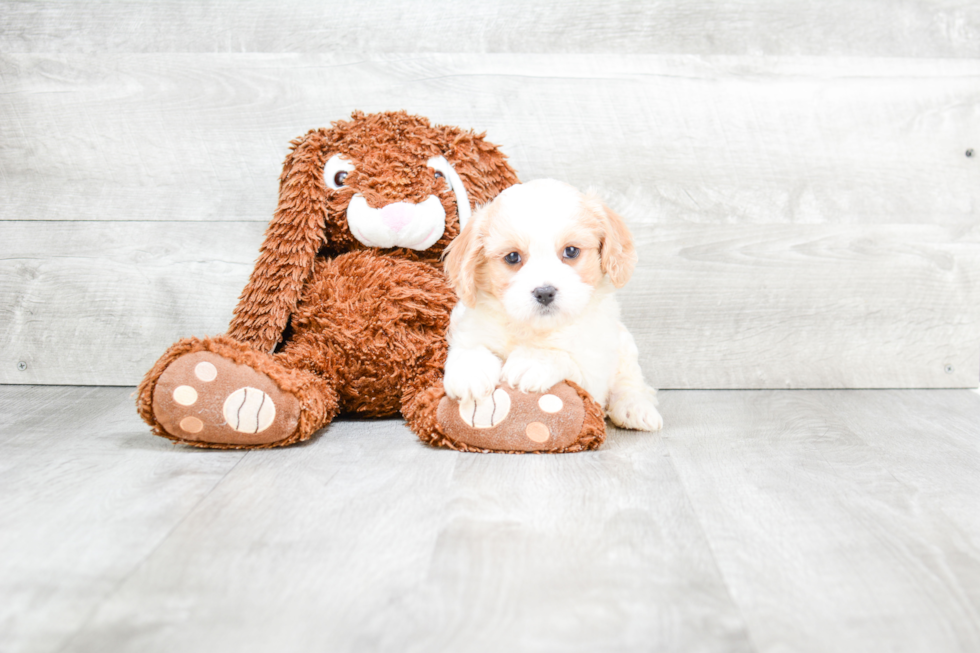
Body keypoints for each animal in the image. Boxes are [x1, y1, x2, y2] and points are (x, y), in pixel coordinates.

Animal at [446, 180, 668, 432]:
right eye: (512, 257)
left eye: (571, 251)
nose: (544, 292)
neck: (533, 328)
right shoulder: (469, 330)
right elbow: (468, 348)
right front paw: (469, 370)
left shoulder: (593, 372)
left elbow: (568, 360)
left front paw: (533, 361)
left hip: (624, 345)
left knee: (631, 382)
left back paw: (636, 408)